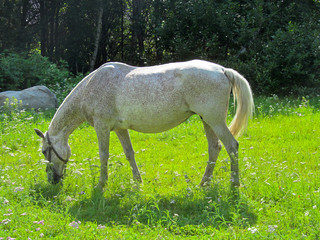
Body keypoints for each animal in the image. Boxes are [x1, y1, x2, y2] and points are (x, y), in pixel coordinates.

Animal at [35, 60, 254, 189]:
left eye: (45, 151)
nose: (53, 180)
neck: (92, 86)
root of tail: (223, 70)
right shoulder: (120, 129)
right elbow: (129, 154)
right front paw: (137, 182)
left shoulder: (102, 126)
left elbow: (103, 155)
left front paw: (101, 184)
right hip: (207, 121)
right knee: (214, 148)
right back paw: (203, 183)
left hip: (214, 121)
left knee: (232, 146)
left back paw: (234, 184)